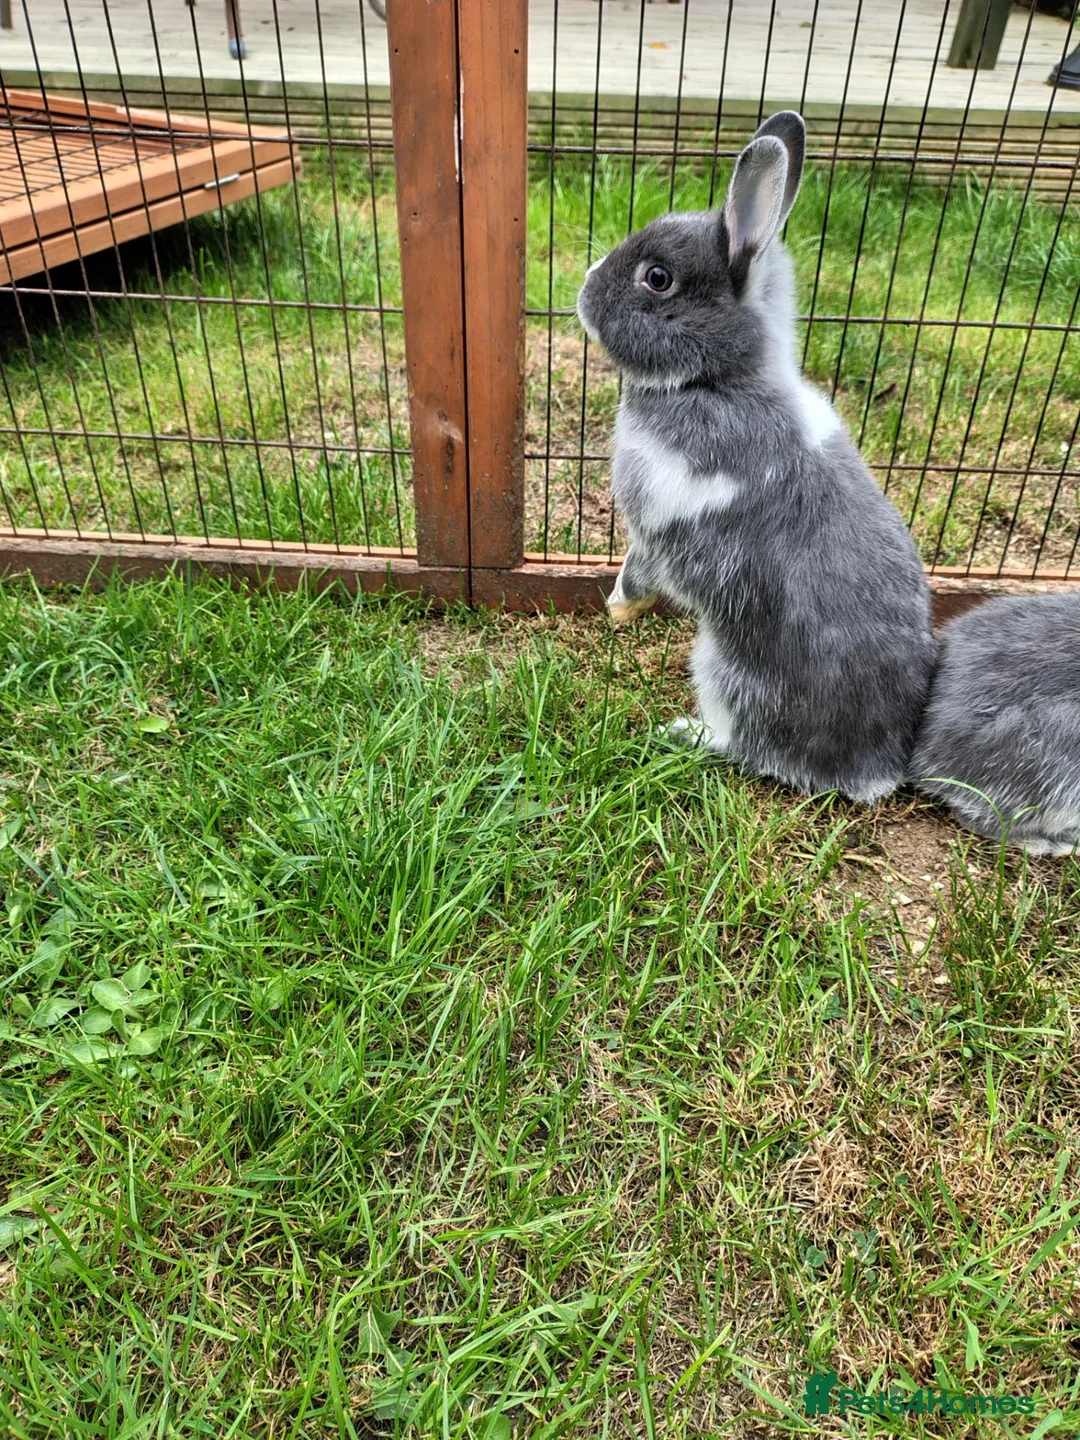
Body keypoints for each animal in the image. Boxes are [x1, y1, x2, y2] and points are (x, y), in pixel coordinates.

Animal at [576, 110, 938, 803]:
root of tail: (874, 769)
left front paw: (617, 610)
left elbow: (638, 569)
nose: (584, 286)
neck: (716, 380)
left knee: (742, 744)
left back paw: (681, 732)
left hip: (723, 668)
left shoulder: (654, 525)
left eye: (657, 278)